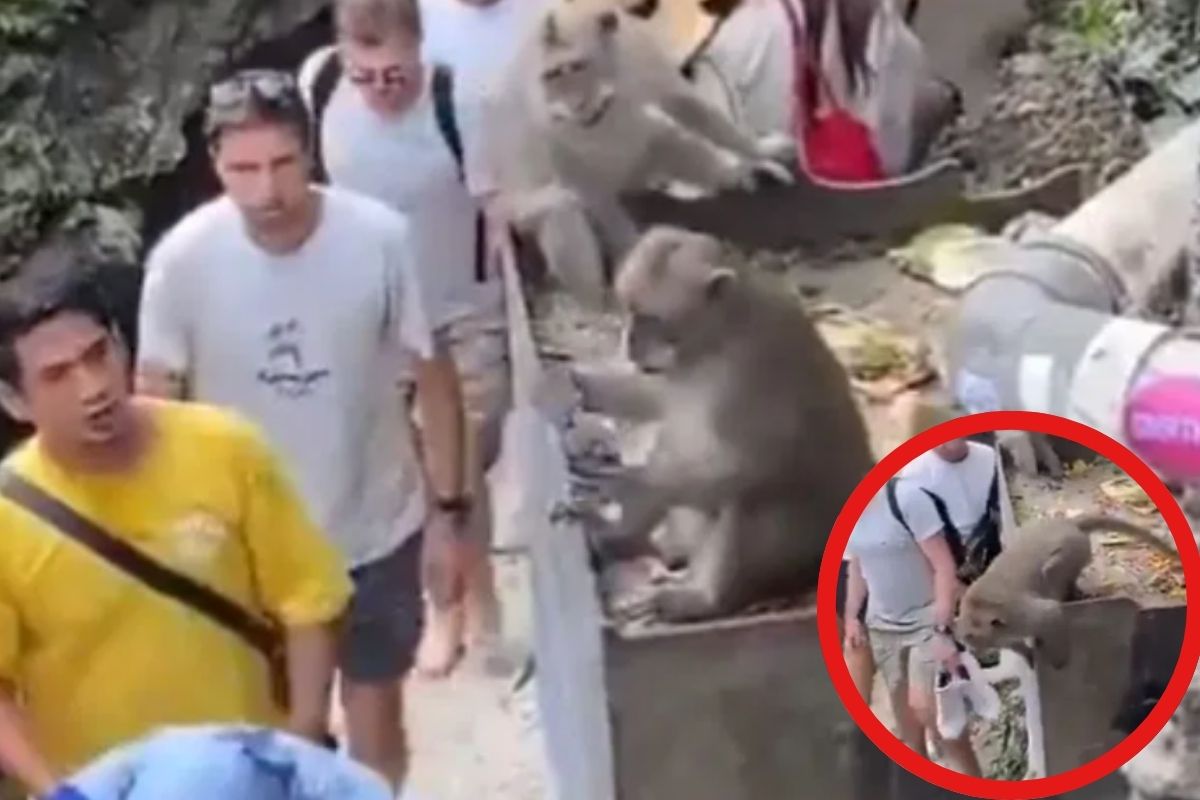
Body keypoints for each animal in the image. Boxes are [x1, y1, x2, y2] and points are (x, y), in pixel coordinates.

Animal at [485, 2, 793, 309]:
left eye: (575, 66)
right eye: (553, 74)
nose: (575, 104)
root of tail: (629, 183)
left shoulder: (639, 54)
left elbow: (687, 106)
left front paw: (758, 152)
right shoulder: (542, 115)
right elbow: (579, 178)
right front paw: (635, 257)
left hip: (644, 159)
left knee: (672, 142)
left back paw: (732, 173)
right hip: (530, 208)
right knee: (561, 207)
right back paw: (599, 304)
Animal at [568, 225, 876, 623]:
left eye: (652, 319)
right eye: (629, 311)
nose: (631, 344)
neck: (717, 336)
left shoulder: (748, 371)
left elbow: (748, 464)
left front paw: (630, 486)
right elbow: (659, 399)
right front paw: (579, 386)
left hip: (801, 546)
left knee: (744, 497)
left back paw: (701, 598)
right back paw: (636, 541)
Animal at [954, 514, 1180, 669]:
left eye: (972, 636)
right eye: (965, 636)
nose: (971, 649)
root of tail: (1068, 523)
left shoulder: (1020, 615)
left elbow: (1050, 613)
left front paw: (1059, 659)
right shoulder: (1004, 632)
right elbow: (1015, 644)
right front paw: (1027, 655)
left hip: (1076, 548)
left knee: (1053, 569)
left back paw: (1070, 592)